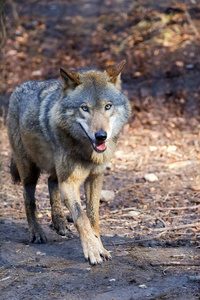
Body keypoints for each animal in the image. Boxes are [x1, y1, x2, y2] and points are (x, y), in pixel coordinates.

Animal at [6, 61, 131, 264]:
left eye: (108, 106)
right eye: (84, 108)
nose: (101, 136)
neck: (87, 151)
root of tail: (18, 87)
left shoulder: (95, 178)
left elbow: (93, 217)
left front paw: (100, 247)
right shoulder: (70, 183)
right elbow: (81, 218)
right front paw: (93, 250)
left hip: (56, 170)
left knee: (51, 181)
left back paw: (60, 222)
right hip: (29, 171)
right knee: (28, 199)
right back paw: (37, 233)